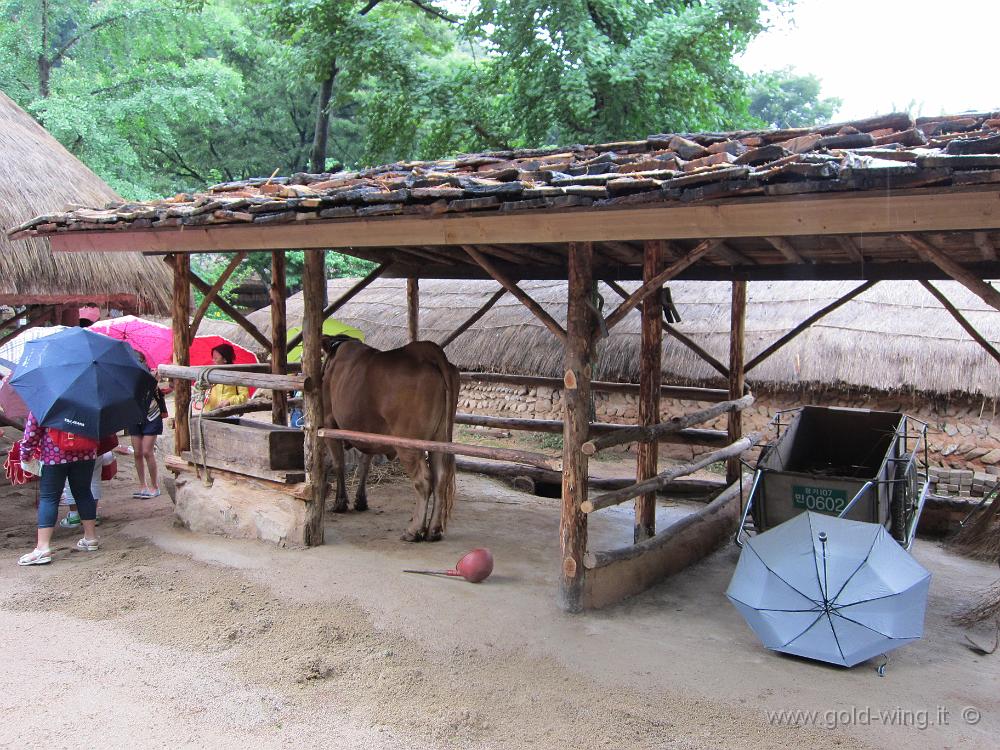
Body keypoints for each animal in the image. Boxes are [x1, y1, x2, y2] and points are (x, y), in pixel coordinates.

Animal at [320, 338, 460, 544]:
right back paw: (433, 530)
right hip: (440, 438)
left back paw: (413, 530)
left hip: (409, 444)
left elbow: (339, 464)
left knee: (423, 481)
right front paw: (360, 501)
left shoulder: (329, 422)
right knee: (441, 478)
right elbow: (364, 464)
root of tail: (427, 351)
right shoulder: (368, 432)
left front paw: (340, 503)